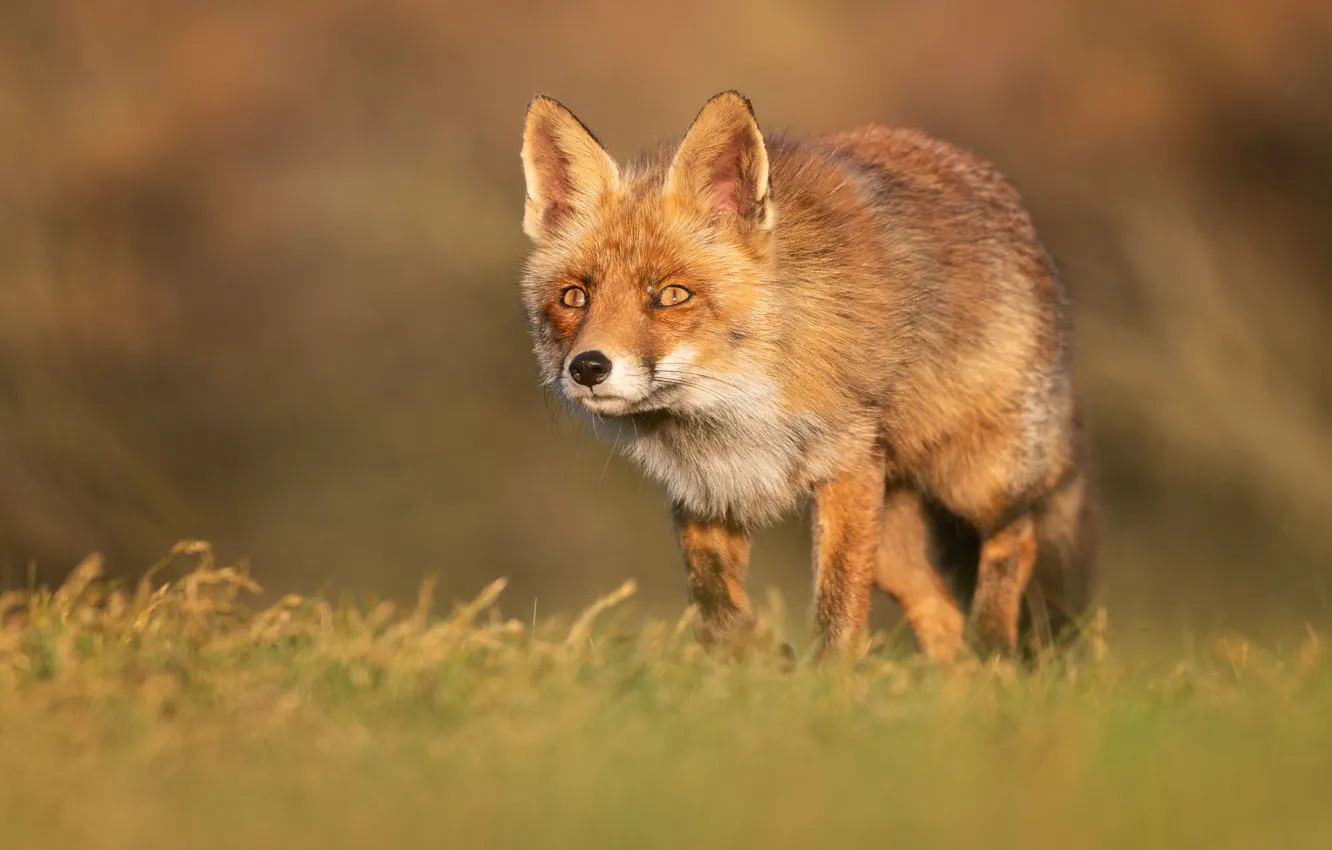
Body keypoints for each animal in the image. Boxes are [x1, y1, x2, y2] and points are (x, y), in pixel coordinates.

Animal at [517, 90, 1095, 661]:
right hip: (891, 541)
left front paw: (828, 681)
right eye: (575, 297)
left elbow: (836, 611)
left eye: (672, 295)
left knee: (1017, 535)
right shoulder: (704, 492)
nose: (588, 367)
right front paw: (762, 661)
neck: (732, 412)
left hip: (974, 480)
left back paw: (994, 647)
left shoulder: (848, 467)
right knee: (941, 615)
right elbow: (714, 609)